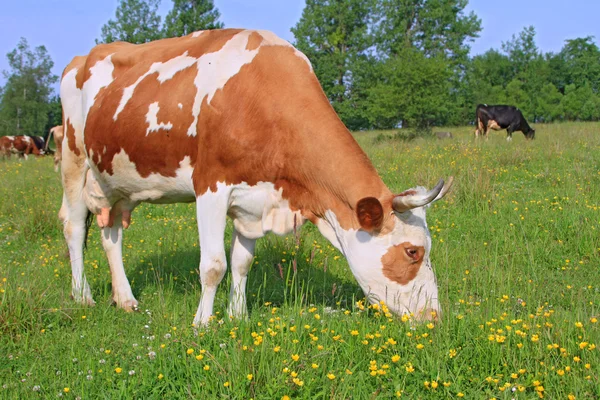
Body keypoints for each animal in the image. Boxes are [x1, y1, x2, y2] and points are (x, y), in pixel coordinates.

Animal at [61, 29, 452, 326]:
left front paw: (238, 317)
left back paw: (125, 299)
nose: (435, 317)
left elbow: (241, 263)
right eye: (413, 252)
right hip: (73, 160)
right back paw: (82, 296)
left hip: (115, 182)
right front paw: (202, 324)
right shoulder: (211, 187)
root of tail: (82, 57)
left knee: (111, 233)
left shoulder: (255, 201)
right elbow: (214, 265)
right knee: (74, 227)